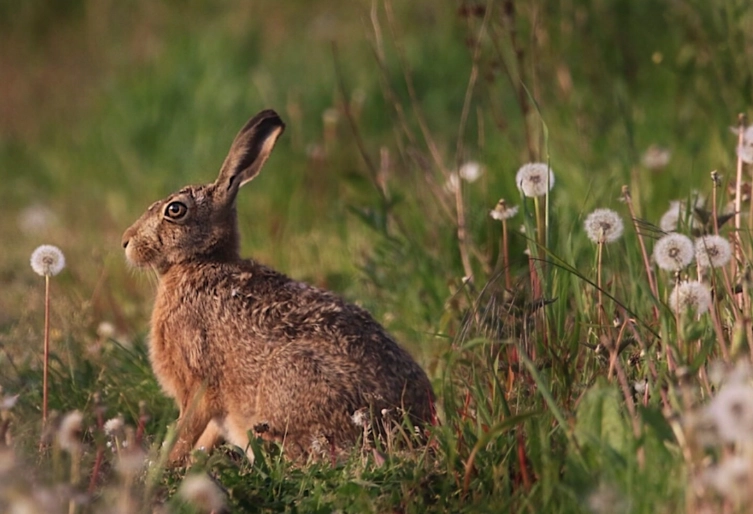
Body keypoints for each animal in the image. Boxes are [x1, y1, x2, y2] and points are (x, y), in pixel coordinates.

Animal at [122, 109, 435, 464]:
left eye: (175, 209)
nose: (126, 242)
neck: (200, 261)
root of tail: (413, 426)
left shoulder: (197, 384)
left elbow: (185, 431)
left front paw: (162, 466)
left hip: (290, 376)